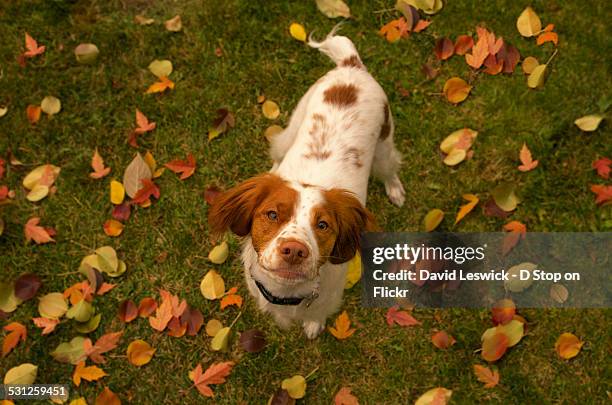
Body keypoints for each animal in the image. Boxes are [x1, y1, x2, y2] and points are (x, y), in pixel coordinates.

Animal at [208, 26, 404, 338]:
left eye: (323, 225)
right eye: (272, 214)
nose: (294, 250)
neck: (287, 295)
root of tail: (351, 66)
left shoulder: (329, 299)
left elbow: (317, 316)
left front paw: (312, 326)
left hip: (385, 143)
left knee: (390, 168)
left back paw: (395, 190)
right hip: (292, 125)